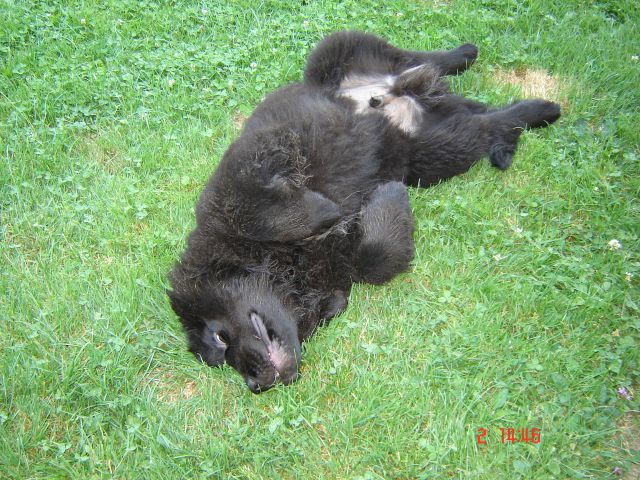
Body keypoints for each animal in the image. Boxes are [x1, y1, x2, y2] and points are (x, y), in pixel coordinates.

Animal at [166, 32, 560, 394]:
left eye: (219, 338)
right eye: (221, 360)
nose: (253, 384)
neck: (281, 261)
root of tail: (389, 92)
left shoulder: (247, 171)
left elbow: (260, 212)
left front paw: (343, 206)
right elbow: (372, 259)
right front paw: (388, 199)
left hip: (334, 51)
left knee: (422, 59)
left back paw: (522, 92)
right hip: (433, 149)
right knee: (478, 117)